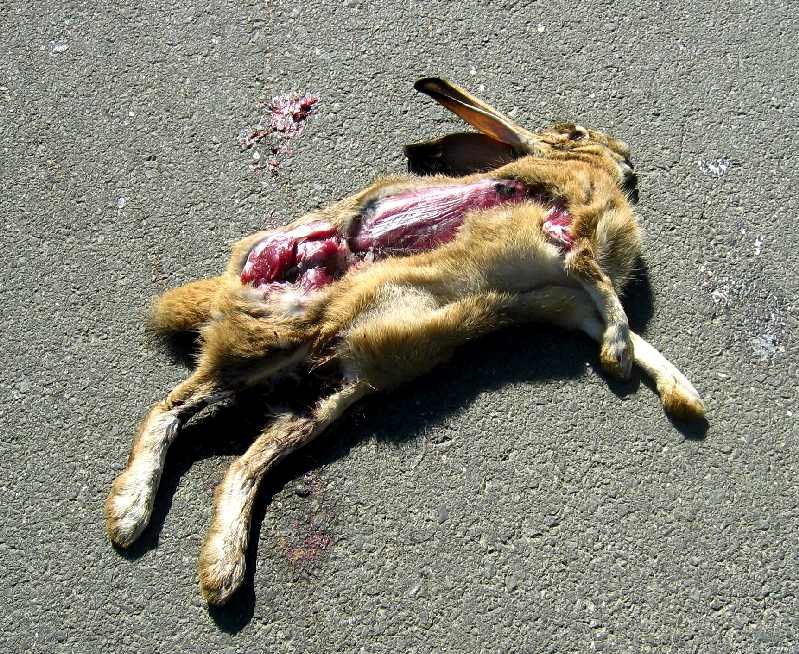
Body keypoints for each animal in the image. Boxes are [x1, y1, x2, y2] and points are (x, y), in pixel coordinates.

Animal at [105, 77, 705, 605]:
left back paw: (220, 572)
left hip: (324, 395)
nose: (628, 158)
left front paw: (685, 398)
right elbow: (609, 297)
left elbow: (638, 338)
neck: (575, 168)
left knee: (241, 467)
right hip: (269, 343)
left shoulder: (573, 305)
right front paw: (618, 359)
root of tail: (230, 284)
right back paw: (130, 516)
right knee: (169, 408)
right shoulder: (569, 232)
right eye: (576, 131)